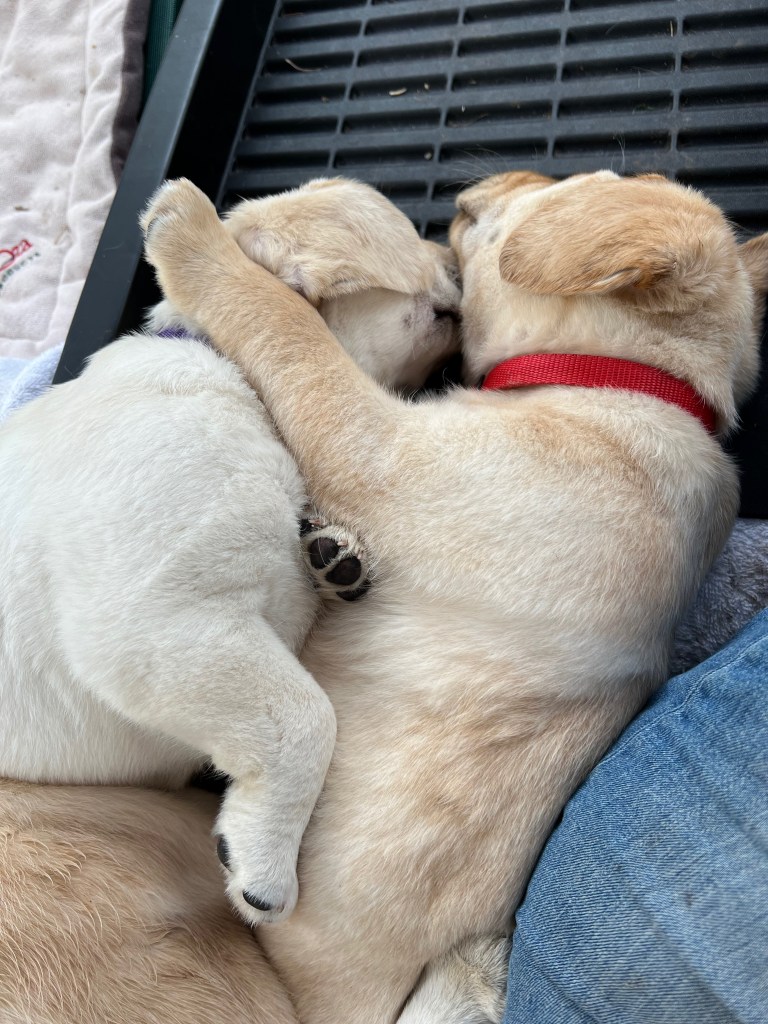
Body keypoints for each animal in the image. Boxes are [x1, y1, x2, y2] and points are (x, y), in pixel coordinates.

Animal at [0, 178, 460, 939]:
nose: (455, 250)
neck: (225, 363)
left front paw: (334, 556)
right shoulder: (164, 624)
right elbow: (305, 720)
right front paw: (265, 862)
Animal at [140, 170, 768, 1024]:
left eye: (567, 182)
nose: (504, 177)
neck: (629, 383)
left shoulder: (372, 443)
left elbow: (287, 327)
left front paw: (194, 235)